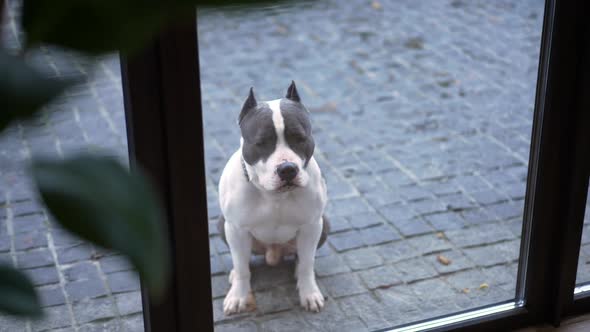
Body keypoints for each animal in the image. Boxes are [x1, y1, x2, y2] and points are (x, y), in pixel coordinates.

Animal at [219, 81, 328, 316]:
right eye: (261, 142)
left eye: (300, 138)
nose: (287, 169)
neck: (274, 196)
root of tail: (274, 253)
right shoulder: (236, 229)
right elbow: (241, 267)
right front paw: (238, 296)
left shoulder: (311, 226)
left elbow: (307, 263)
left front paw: (309, 293)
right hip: (222, 226)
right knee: (242, 260)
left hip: (324, 226)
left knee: (301, 258)